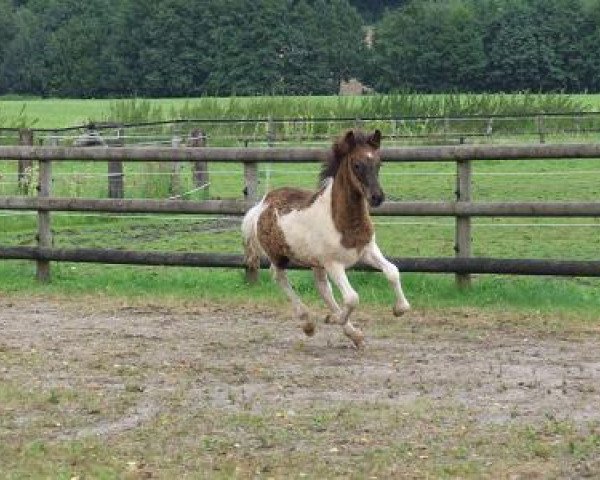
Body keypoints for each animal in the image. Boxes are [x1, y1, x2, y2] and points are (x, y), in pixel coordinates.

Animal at [241, 129, 410, 346]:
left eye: (379, 163)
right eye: (357, 165)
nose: (377, 197)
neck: (341, 221)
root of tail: (261, 204)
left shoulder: (368, 250)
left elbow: (392, 271)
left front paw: (399, 309)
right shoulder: (333, 263)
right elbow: (352, 298)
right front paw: (332, 319)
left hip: (315, 262)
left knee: (323, 288)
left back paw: (352, 333)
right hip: (280, 257)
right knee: (280, 277)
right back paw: (308, 323)